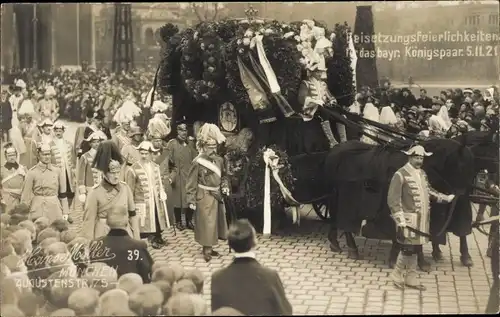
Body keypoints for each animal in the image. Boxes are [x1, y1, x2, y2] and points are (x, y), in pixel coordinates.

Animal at [324, 137, 476, 268]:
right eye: (459, 166)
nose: (462, 194)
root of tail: (335, 149)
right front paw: (410, 260)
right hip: (342, 199)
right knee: (342, 219)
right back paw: (351, 249)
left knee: (335, 218)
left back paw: (335, 243)